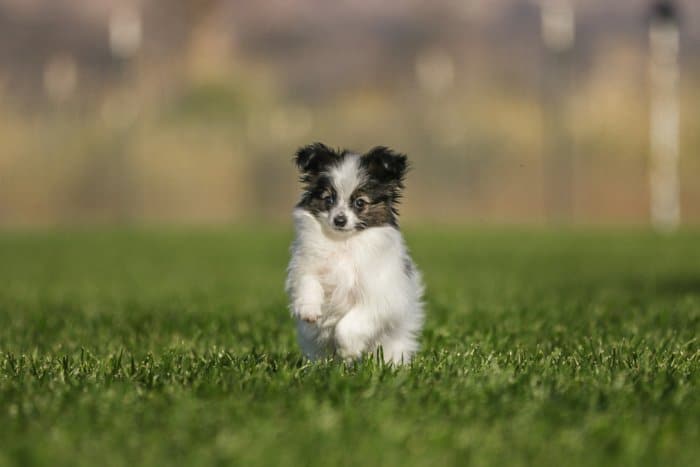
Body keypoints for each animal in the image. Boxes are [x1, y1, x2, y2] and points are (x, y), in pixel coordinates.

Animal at [284, 143, 424, 366]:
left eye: (359, 202)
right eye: (329, 199)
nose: (339, 220)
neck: (344, 243)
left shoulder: (379, 298)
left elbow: (348, 325)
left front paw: (348, 352)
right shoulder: (306, 264)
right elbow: (308, 281)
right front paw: (309, 310)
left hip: (394, 345)